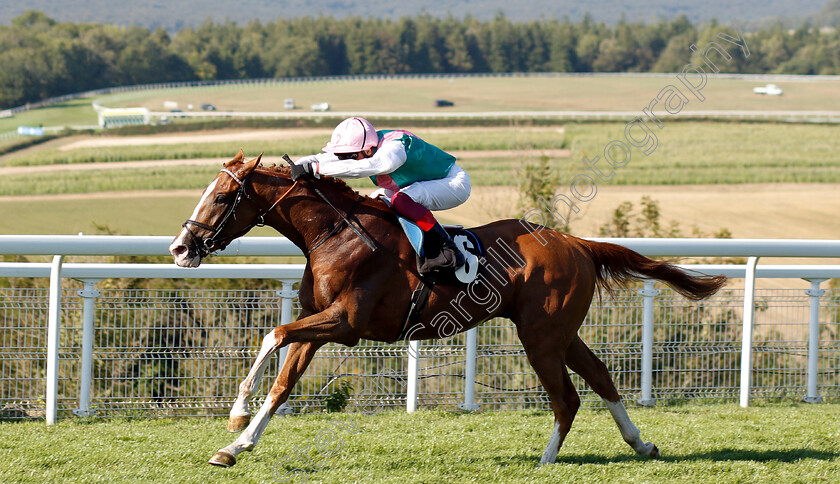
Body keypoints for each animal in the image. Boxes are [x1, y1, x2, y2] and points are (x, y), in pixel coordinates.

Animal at [169, 150, 720, 466]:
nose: (180, 248)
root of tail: (577, 243)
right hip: (559, 332)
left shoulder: (344, 324)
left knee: (567, 398)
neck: (335, 234)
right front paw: (235, 447)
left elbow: (275, 335)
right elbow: (283, 383)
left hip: (540, 337)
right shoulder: (321, 324)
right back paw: (641, 444)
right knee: (601, 377)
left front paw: (236, 415)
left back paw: (545, 460)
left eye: (221, 197)